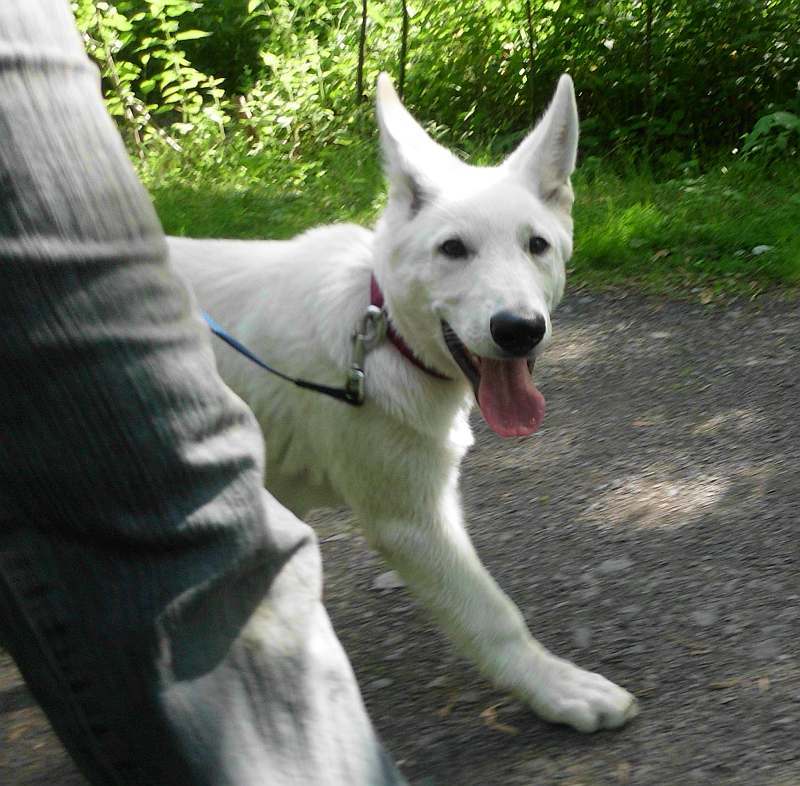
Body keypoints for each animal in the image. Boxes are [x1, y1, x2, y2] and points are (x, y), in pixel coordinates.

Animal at [169, 73, 636, 728]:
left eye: (537, 245)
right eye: (453, 249)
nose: (519, 329)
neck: (381, 330)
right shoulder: (411, 522)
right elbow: (492, 615)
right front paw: (558, 688)